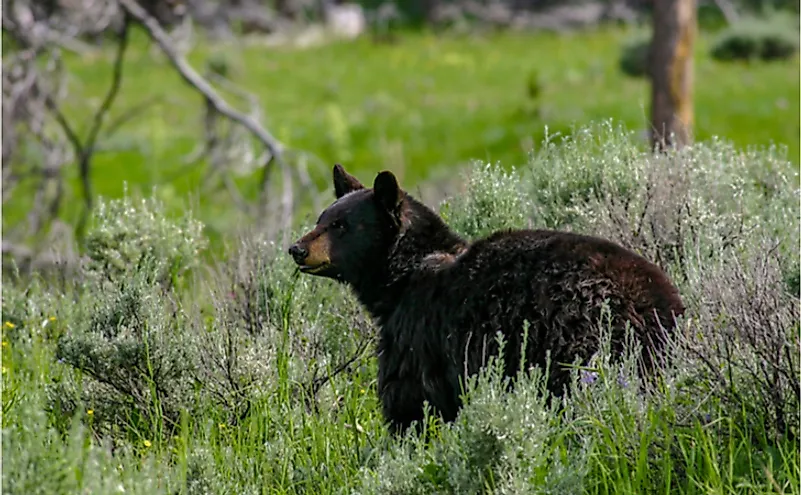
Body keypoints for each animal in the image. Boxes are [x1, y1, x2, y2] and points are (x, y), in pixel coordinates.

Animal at [290, 166, 684, 434]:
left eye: (341, 226)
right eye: (321, 218)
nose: (297, 248)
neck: (403, 276)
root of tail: (661, 304)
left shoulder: (416, 334)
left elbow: (408, 402)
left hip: (574, 338)